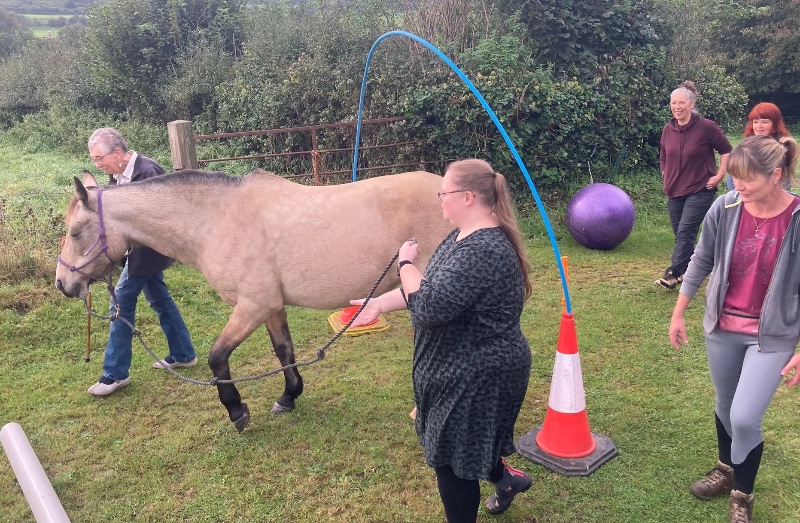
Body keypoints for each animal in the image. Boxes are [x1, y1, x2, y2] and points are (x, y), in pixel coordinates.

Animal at [54, 170, 456, 432]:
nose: (63, 283)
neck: (216, 220)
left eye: (75, 232)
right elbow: (284, 352)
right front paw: (289, 397)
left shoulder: (252, 305)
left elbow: (217, 357)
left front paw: (236, 411)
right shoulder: (272, 306)